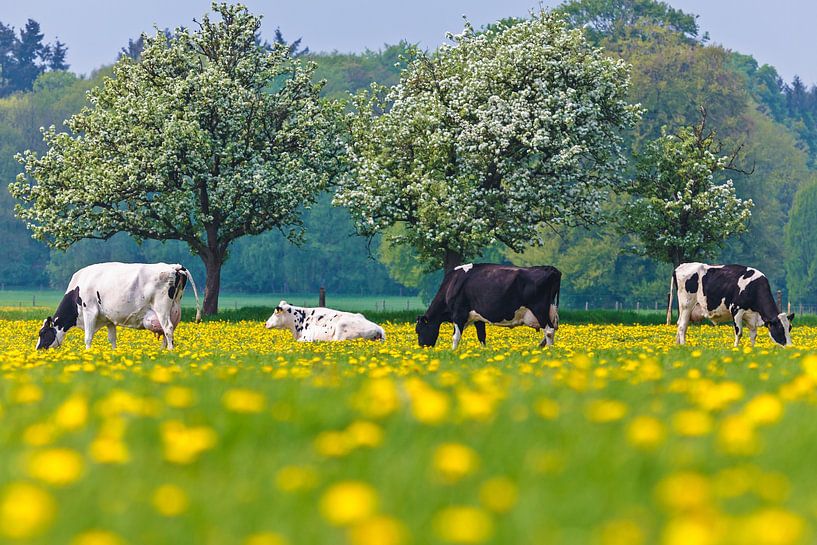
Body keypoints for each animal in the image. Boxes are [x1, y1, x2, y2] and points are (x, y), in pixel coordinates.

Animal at [34, 262, 201, 348]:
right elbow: (112, 339)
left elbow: (88, 337)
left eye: (42, 333)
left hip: (162, 308)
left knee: (168, 329)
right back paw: (162, 352)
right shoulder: (108, 319)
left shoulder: (89, 311)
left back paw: (170, 352)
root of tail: (174, 266)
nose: (38, 350)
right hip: (174, 310)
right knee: (168, 332)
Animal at [414, 264, 560, 348]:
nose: (422, 347)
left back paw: (548, 351)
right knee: (551, 330)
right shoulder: (477, 318)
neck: (452, 283)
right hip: (550, 310)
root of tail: (550, 269)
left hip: (539, 309)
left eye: (418, 330)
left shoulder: (458, 314)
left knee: (549, 331)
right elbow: (482, 337)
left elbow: (455, 337)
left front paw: (453, 352)